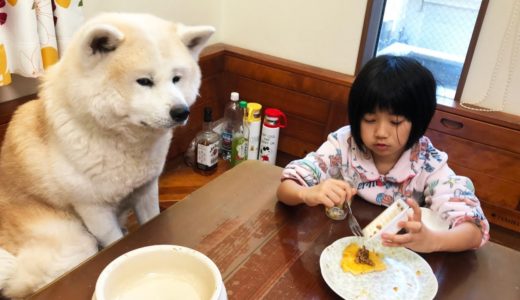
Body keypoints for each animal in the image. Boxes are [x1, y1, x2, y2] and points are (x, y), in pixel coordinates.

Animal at [0, 12, 213, 298]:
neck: (122, 143)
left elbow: (151, 219)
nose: (181, 112)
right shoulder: (94, 210)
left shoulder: (146, 189)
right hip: (74, 241)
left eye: (176, 79)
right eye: (144, 81)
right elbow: (115, 242)